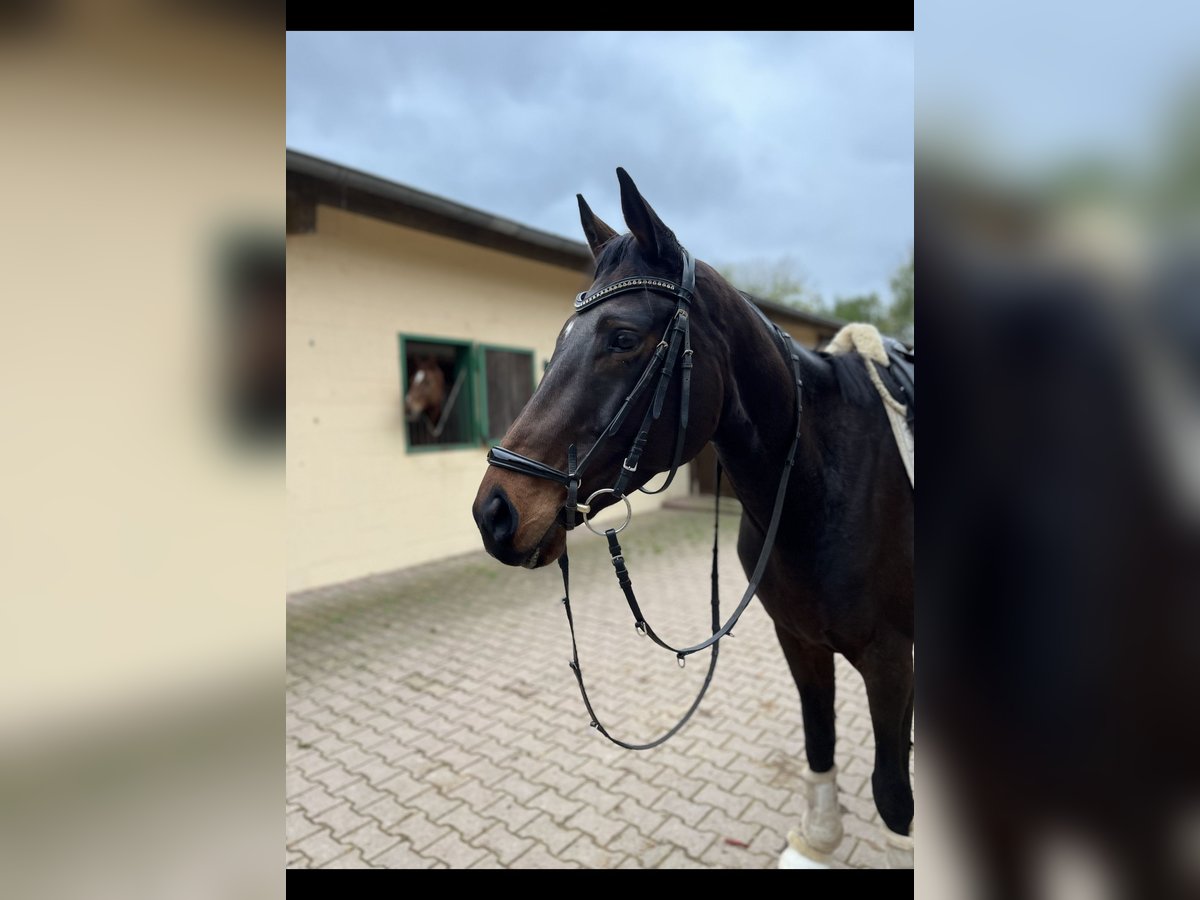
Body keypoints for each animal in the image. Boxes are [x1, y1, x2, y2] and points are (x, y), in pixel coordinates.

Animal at [472, 169, 912, 868]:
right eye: (561, 339)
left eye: (622, 339)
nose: (495, 511)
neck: (820, 488)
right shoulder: (801, 640)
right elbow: (820, 739)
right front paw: (817, 840)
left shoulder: (891, 658)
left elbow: (894, 795)